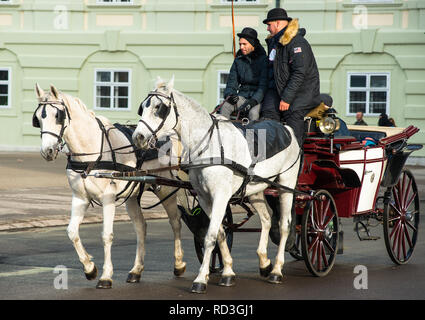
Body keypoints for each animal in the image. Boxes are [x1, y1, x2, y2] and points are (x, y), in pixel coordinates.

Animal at [33, 84, 186, 288]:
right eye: (38, 118)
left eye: (58, 115)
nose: (47, 151)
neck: (91, 152)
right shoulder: (80, 198)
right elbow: (72, 232)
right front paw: (89, 268)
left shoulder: (108, 199)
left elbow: (107, 235)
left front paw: (106, 276)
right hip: (132, 196)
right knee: (141, 227)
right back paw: (136, 270)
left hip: (167, 190)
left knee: (175, 222)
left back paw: (178, 264)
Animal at [131, 77, 300, 292]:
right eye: (142, 107)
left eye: (159, 107)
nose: (138, 137)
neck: (209, 145)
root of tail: (287, 129)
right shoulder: (205, 198)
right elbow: (219, 233)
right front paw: (227, 272)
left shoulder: (220, 196)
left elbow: (210, 236)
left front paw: (201, 279)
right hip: (255, 190)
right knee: (267, 220)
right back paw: (264, 262)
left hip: (286, 184)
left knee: (284, 225)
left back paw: (277, 270)